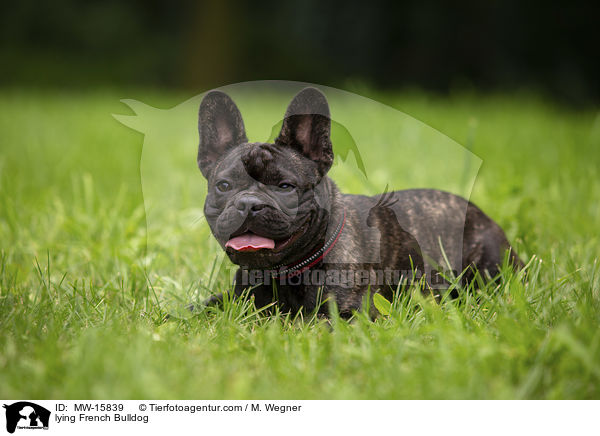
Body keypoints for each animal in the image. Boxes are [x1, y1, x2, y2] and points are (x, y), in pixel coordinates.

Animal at [196, 87, 520, 316]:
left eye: (285, 187)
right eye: (223, 186)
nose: (248, 203)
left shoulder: (348, 313)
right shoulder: (235, 299)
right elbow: (201, 307)